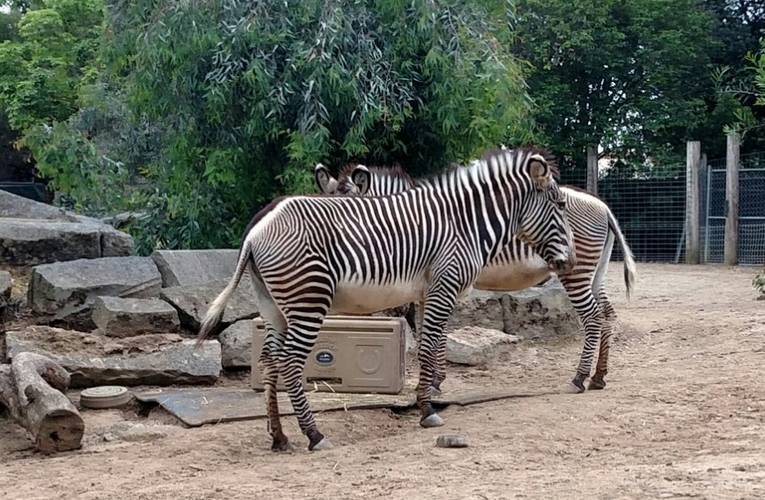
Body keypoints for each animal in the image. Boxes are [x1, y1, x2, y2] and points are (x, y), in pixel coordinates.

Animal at [197, 146, 572, 452]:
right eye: (559, 204)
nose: (568, 261)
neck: (463, 223)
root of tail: (258, 227)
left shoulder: (427, 292)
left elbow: (432, 343)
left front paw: (430, 394)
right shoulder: (443, 286)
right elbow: (428, 345)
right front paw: (427, 409)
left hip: (272, 304)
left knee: (270, 361)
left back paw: (279, 436)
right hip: (308, 300)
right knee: (289, 362)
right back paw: (314, 435)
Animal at [314, 160, 636, 394]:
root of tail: (602, 206)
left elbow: (435, 331)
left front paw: (433, 383)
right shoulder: (428, 287)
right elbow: (429, 332)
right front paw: (432, 380)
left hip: (576, 272)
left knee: (593, 317)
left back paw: (579, 377)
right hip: (595, 271)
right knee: (607, 315)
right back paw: (599, 376)